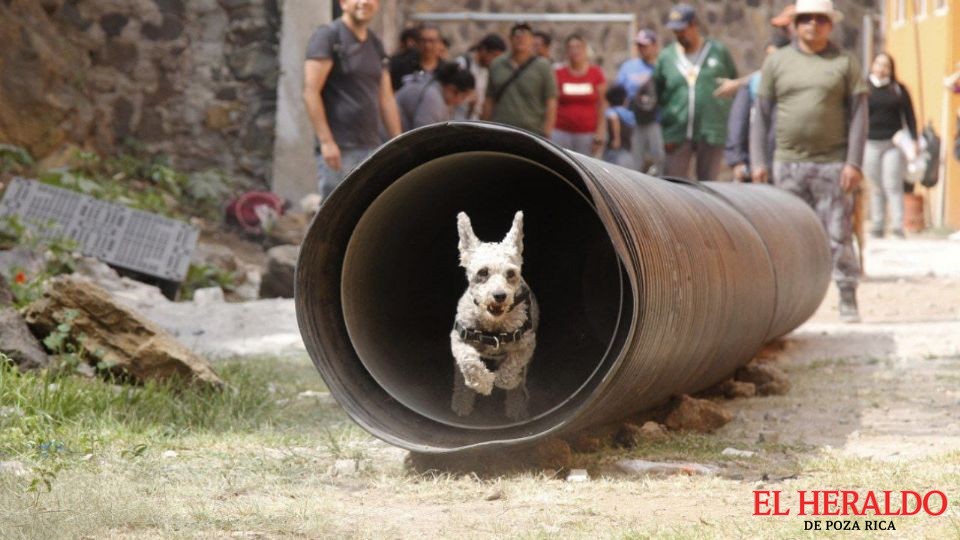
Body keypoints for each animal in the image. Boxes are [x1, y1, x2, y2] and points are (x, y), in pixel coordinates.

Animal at [452, 211, 540, 422]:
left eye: (510, 273)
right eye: (483, 272)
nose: (500, 295)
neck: (492, 326)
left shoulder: (527, 343)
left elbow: (512, 367)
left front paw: (503, 381)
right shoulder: (458, 339)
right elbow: (468, 361)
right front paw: (482, 384)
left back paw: (516, 409)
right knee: (459, 378)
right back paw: (461, 403)